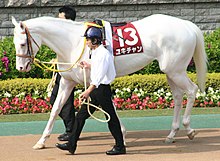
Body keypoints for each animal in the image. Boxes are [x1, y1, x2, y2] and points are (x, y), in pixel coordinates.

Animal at [12, 14, 207, 149]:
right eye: (14, 43)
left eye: (22, 43)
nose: (21, 67)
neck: (73, 42)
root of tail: (187, 25)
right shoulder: (68, 82)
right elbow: (55, 110)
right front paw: (41, 141)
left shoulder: (95, 80)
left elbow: (107, 106)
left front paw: (122, 135)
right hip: (171, 71)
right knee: (178, 97)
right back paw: (172, 134)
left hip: (176, 70)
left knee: (191, 90)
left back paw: (189, 129)